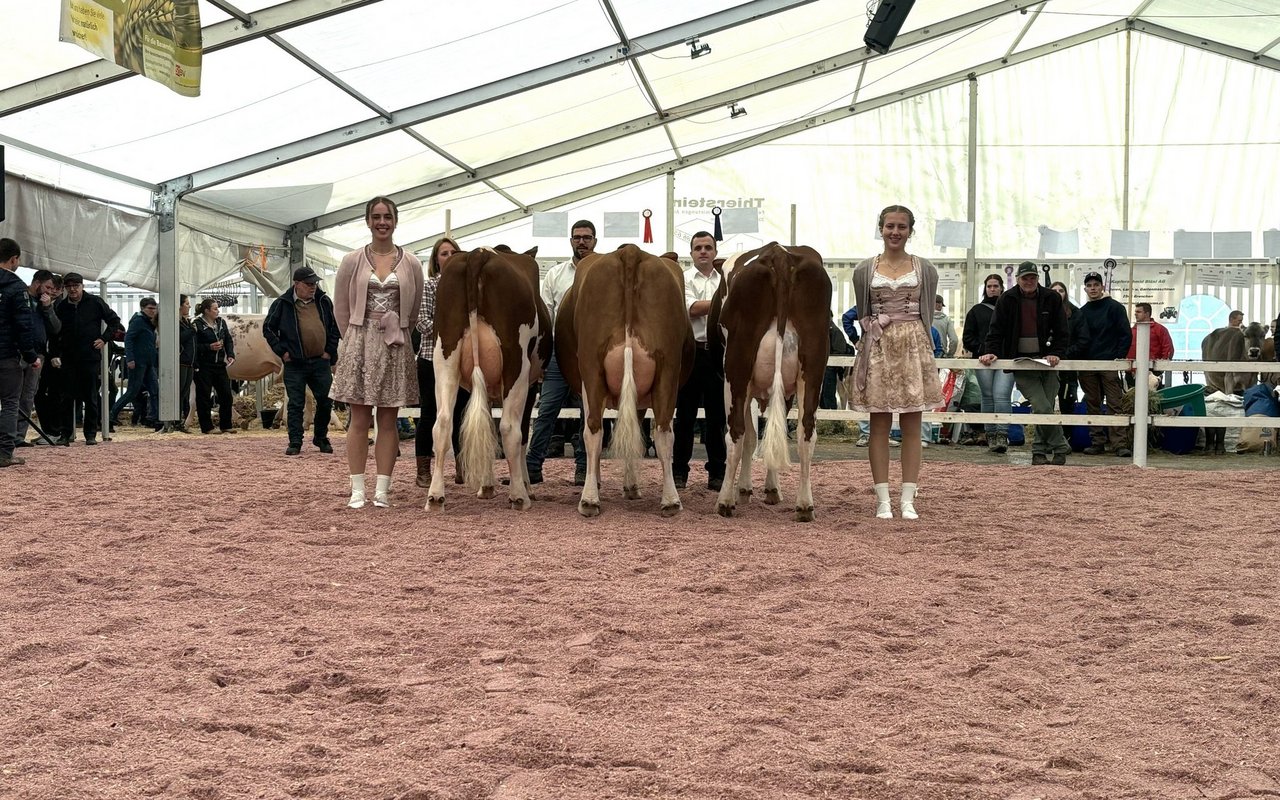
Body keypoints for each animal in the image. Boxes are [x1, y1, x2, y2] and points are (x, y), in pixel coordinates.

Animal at [427, 246, 552, 511]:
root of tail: (479, 252)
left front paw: (486, 486)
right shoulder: (531, 386)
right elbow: (520, 434)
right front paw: (525, 486)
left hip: (444, 357)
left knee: (442, 423)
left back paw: (435, 496)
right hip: (517, 364)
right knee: (509, 428)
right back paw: (519, 496)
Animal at [556, 244, 693, 517]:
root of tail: (630, 250)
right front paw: (630, 486)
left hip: (592, 367)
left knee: (593, 430)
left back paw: (589, 500)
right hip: (667, 368)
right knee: (663, 432)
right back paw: (670, 500)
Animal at [710, 242, 832, 522]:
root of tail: (779, 254)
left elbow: (751, 436)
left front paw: (744, 489)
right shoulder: (787, 390)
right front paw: (771, 488)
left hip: (735, 370)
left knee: (735, 432)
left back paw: (724, 502)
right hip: (813, 367)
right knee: (806, 431)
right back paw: (804, 505)